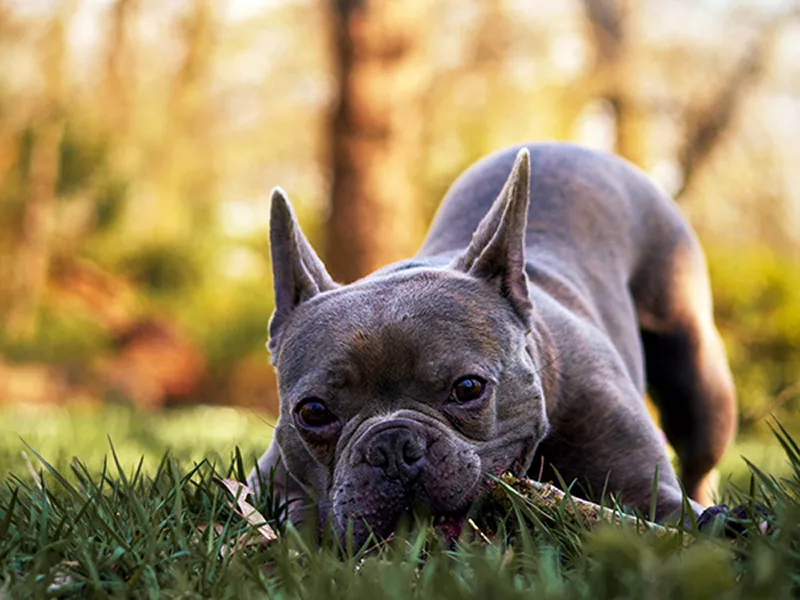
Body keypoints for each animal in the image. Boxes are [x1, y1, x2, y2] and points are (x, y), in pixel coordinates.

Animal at [250, 142, 736, 544]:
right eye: (313, 412)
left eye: (468, 388)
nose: (392, 446)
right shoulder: (266, 483)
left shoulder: (649, 493)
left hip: (696, 376)